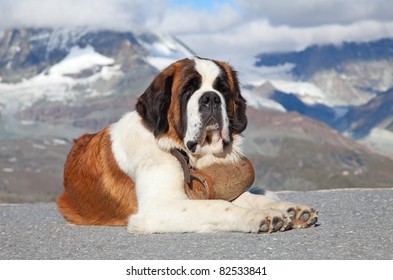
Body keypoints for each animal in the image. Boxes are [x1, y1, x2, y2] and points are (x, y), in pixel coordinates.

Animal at [57, 57, 316, 234]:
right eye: (189, 89)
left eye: (223, 89)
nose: (211, 97)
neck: (186, 154)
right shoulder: (159, 207)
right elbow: (219, 205)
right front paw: (259, 217)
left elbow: (247, 197)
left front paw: (288, 209)